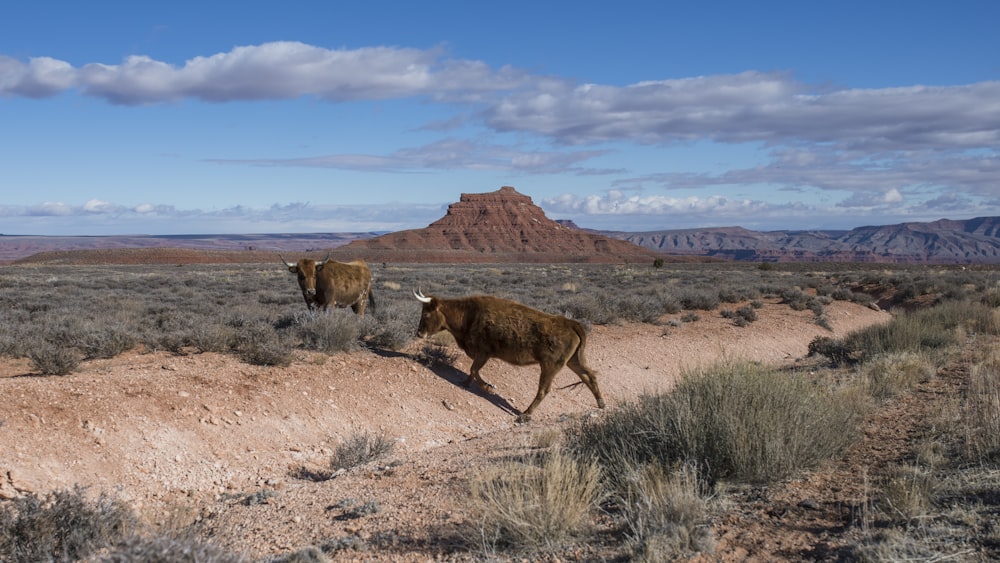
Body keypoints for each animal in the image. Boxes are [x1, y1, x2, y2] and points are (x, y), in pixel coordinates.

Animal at [412, 294, 604, 420]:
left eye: (426, 314)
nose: (419, 333)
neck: (469, 314)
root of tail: (571, 323)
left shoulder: (483, 352)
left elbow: (473, 369)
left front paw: (486, 387)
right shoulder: (483, 354)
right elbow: (474, 371)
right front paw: (469, 383)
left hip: (550, 366)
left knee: (544, 389)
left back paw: (525, 415)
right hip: (574, 361)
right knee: (589, 376)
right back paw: (601, 404)